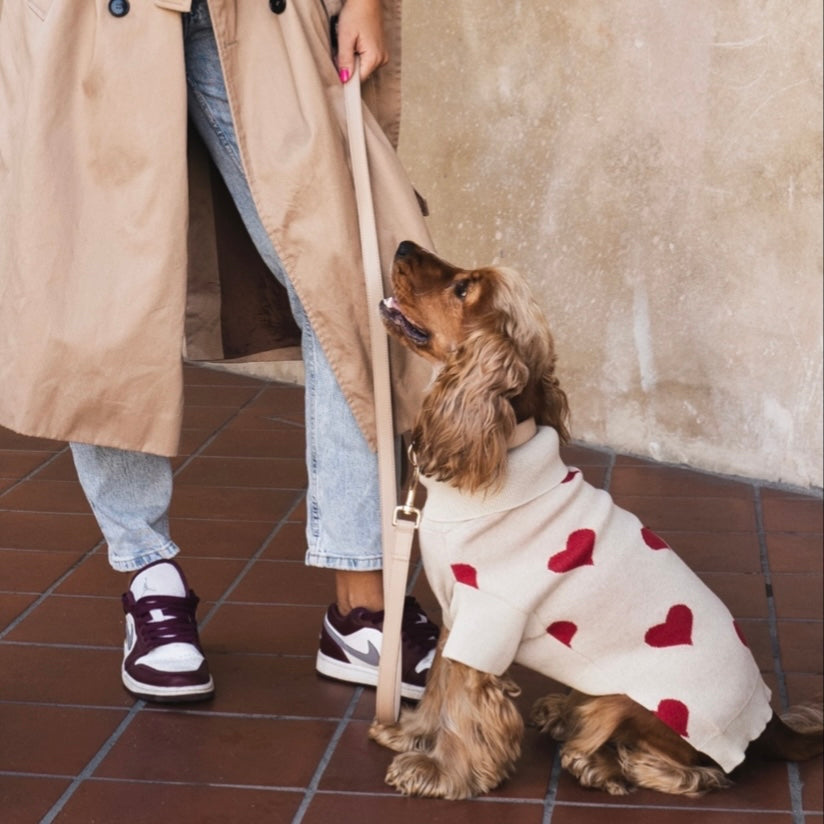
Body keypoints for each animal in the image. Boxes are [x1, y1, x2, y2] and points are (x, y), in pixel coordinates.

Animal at [374, 240, 824, 800]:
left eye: (463, 288)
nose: (403, 245)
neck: (499, 449)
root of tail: (768, 723)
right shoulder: (456, 615)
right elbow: (438, 684)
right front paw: (411, 734)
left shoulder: (486, 618)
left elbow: (461, 702)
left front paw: (440, 771)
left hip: (634, 699)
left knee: (689, 769)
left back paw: (596, 760)